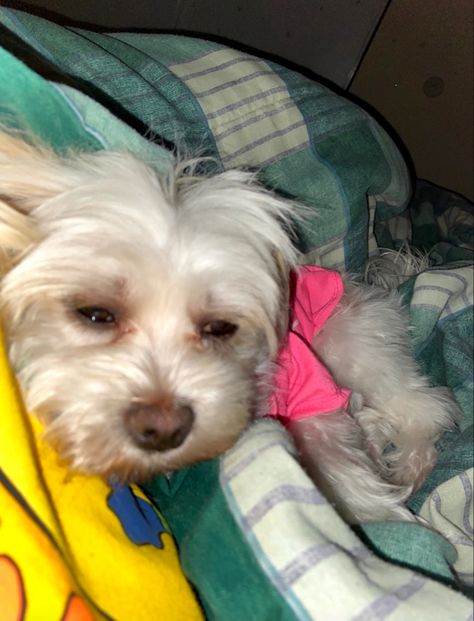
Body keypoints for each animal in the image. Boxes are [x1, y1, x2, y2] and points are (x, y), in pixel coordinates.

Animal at [0, 131, 460, 524]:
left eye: (220, 326)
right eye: (95, 313)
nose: (163, 429)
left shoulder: (310, 388)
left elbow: (336, 458)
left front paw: (376, 515)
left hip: (350, 346)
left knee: (424, 407)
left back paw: (409, 465)